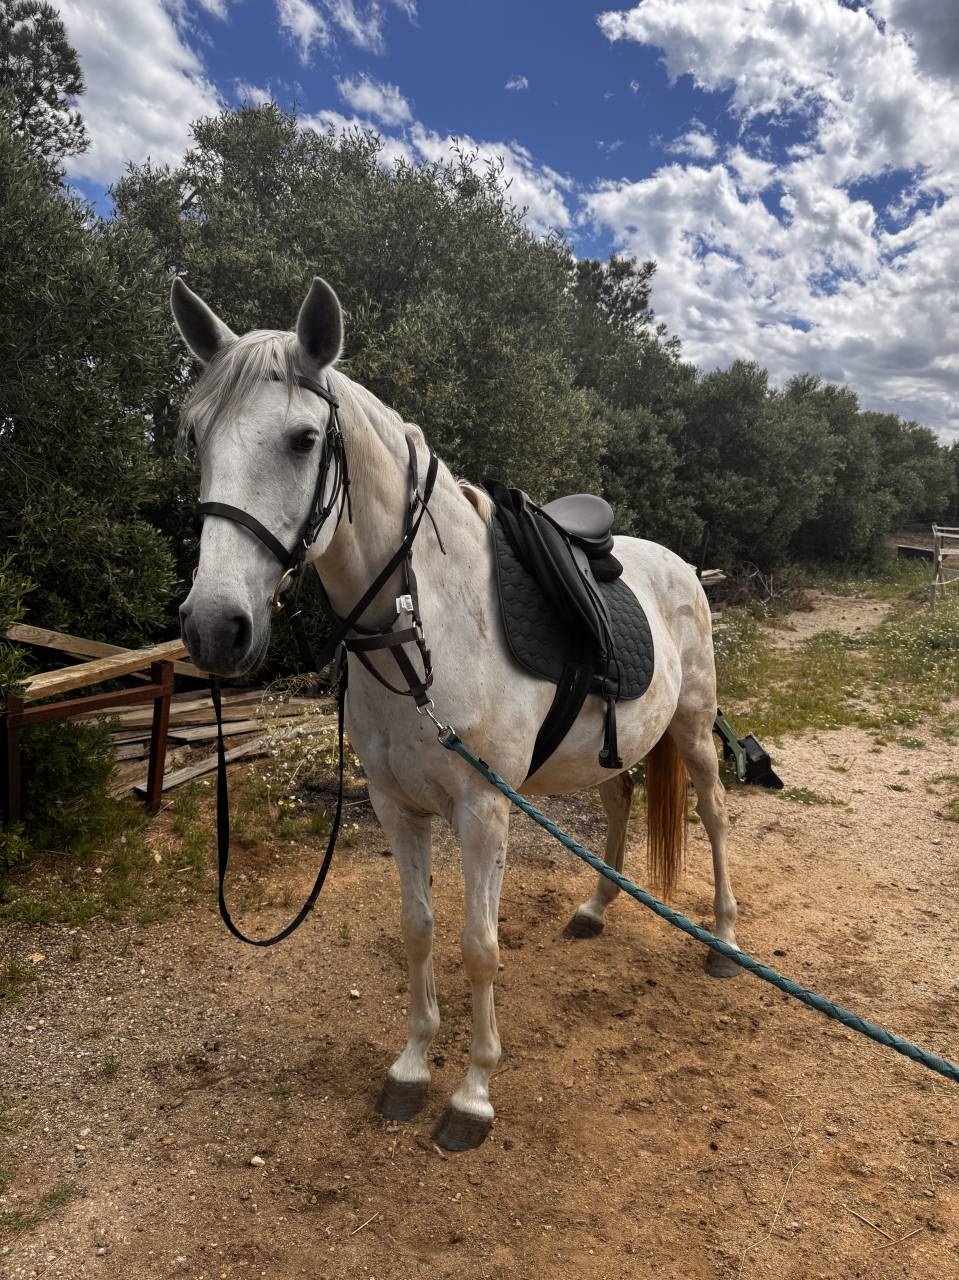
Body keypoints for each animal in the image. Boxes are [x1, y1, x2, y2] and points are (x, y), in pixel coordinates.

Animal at [172, 275, 741, 1152]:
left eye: (303, 439)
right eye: (195, 435)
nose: (212, 627)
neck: (422, 629)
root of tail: (676, 564)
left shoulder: (481, 808)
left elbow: (478, 946)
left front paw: (472, 1094)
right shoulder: (394, 806)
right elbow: (418, 931)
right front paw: (411, 1069)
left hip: (693, 726)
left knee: (711, 814)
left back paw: (722, 939)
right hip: (610, 746)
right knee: (619, 800)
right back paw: (595, 909)